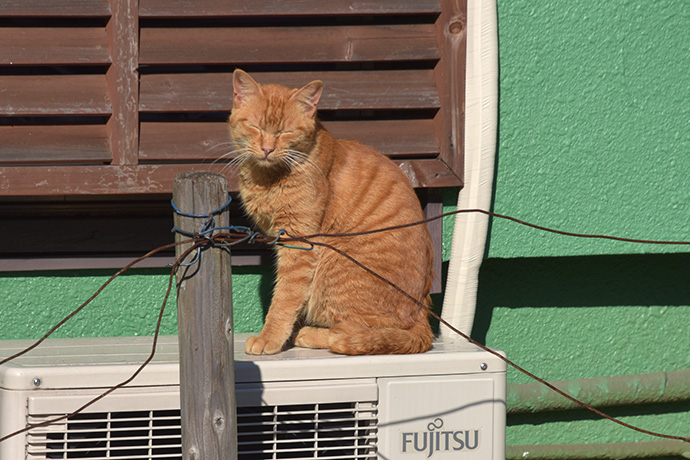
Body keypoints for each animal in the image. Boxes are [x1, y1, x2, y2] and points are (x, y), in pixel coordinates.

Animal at [228, 69, 432, 356]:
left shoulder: (299, 243)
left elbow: (285, 297)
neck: (267, 178)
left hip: (337, 268)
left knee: (351, 333)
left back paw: (309, 334)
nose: (267, 148)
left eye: (286, 132)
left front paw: (270, 336)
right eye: (256, 127)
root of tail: (422, 317)